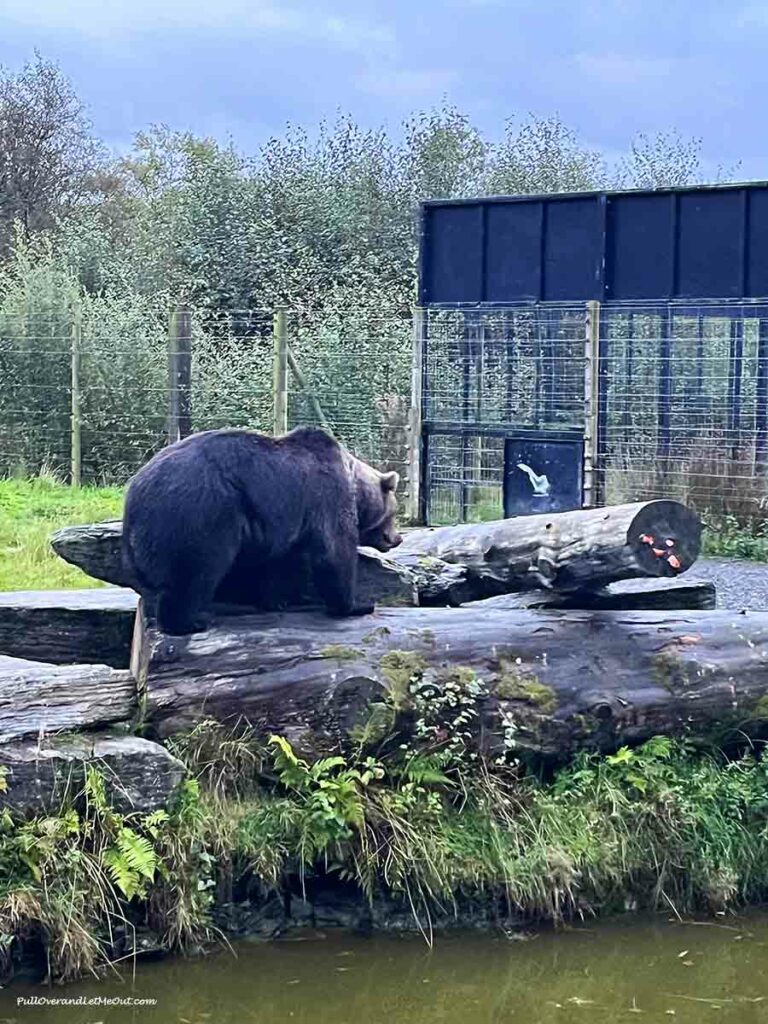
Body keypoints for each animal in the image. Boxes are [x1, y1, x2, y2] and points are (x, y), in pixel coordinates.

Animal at [121, 426, 402, 635]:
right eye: (394, 513)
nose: (396, 538)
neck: (355, 484)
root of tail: (133, 497)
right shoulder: (326, 493)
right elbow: (334, 551)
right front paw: (357, 604)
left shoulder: (284, 521)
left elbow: (281, 562)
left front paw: (279, 599)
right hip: (200, 513)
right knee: (196, 572)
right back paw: (191, 621)